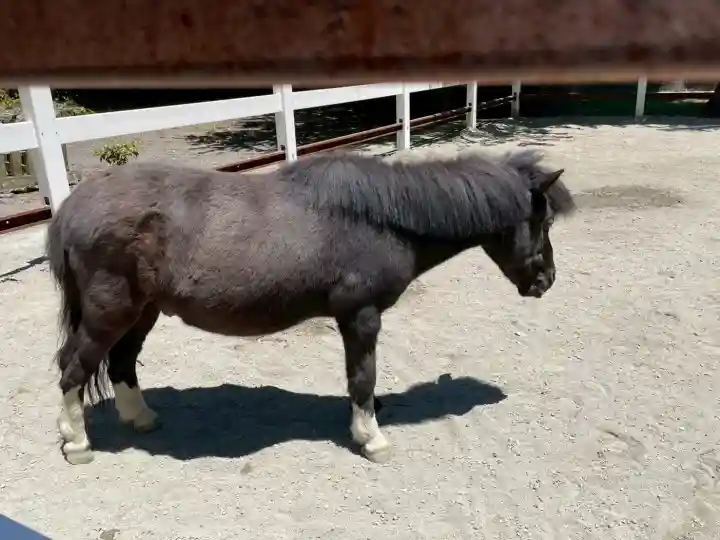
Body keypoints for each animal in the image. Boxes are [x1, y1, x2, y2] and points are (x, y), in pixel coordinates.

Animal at [45, 147, 576, 465]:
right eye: (544, 221)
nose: (547, 281)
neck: (383, 219)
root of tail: (72, 208)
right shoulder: (361, 317)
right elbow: (363, 376)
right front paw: (371, 437)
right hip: (109, 313)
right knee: (73, 368)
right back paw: (77, 443)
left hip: (143, 312)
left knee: (122, 363)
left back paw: (141, 418)